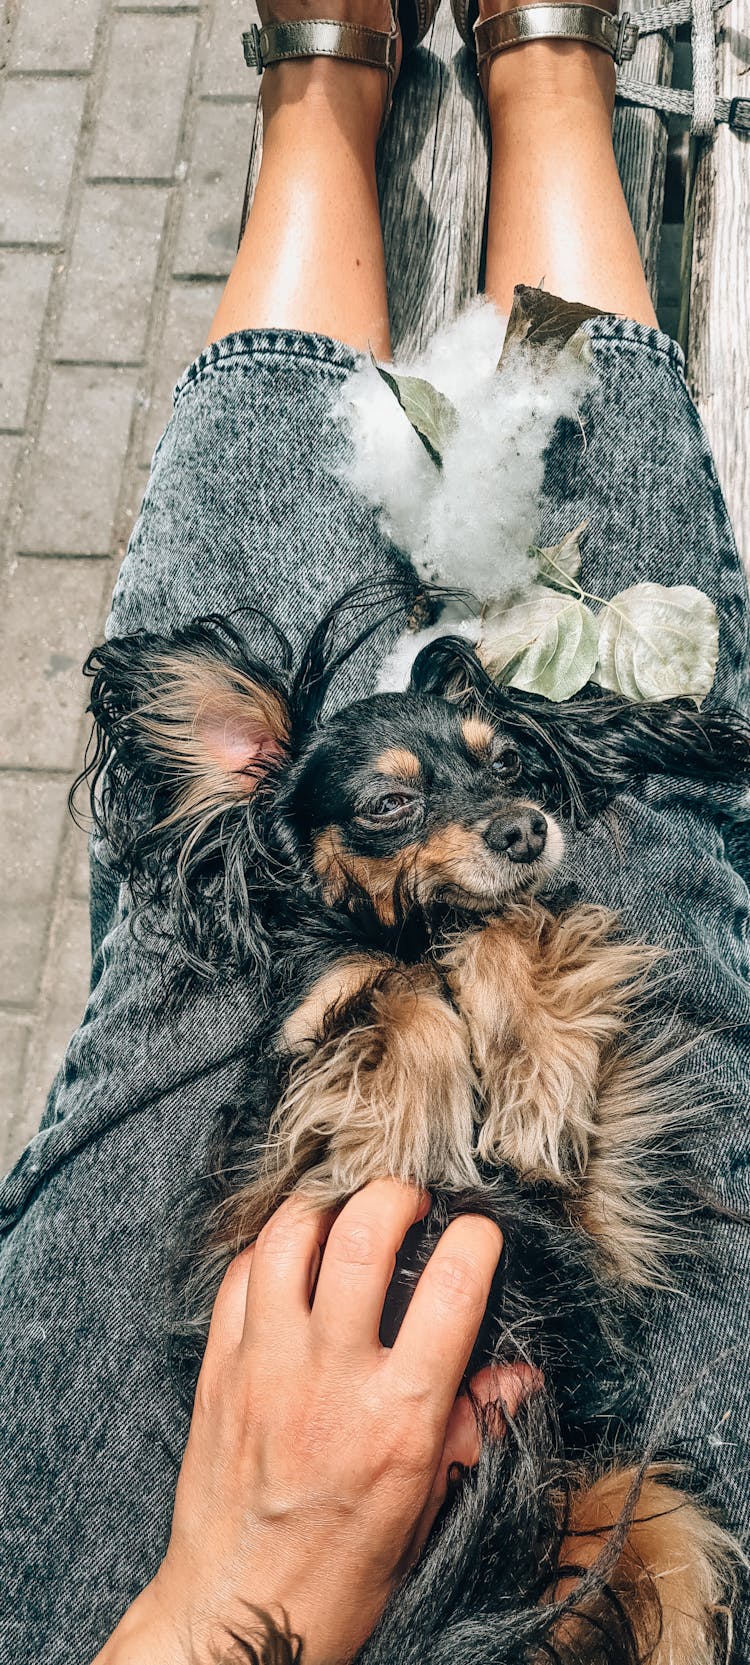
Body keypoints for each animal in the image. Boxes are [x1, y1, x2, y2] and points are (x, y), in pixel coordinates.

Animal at [74, 596, 750, 1665]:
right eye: (390, 804)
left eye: (508, 763)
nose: (525, 829)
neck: (411, 925)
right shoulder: (295, 1091)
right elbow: (392, 990)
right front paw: (422, 1106)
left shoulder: (598, 1190)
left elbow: (508, 928)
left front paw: (534, 1081)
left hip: (652, 1518)